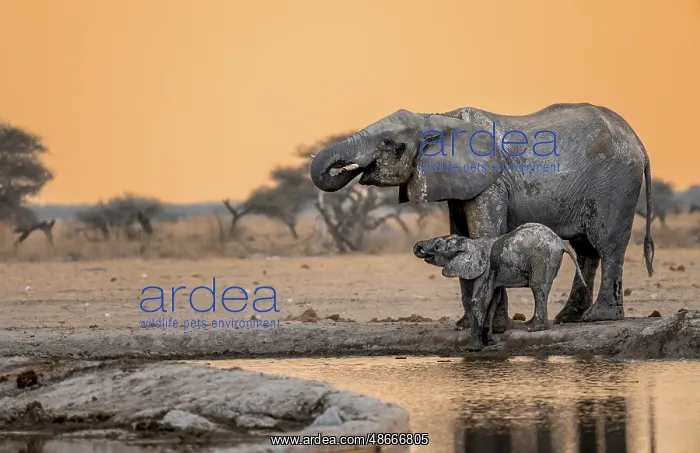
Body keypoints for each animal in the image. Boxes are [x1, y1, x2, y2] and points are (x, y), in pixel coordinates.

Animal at [309, 103, 655, 333]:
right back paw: (568, 318)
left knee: (607, 245)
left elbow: (482, 232)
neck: (437, 115)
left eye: (390, 144)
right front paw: (464, 326)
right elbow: (460, 232)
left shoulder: (491, 182)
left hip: (615, 184)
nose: (349, 169)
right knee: (585, 248)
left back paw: (599, 318)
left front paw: (495, 327)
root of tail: (638, 140)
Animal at [413, 224, 586, 351]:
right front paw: (489, 340)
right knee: (540, 289)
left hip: (543, 258)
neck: (471, 243)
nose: (418, 246)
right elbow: (493, 300)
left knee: (538, 287)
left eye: (437, 247)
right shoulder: (492, 273)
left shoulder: (486, 269)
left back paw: (534, 329)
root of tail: (560, 243)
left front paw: (473, 349)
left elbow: (480, 300)